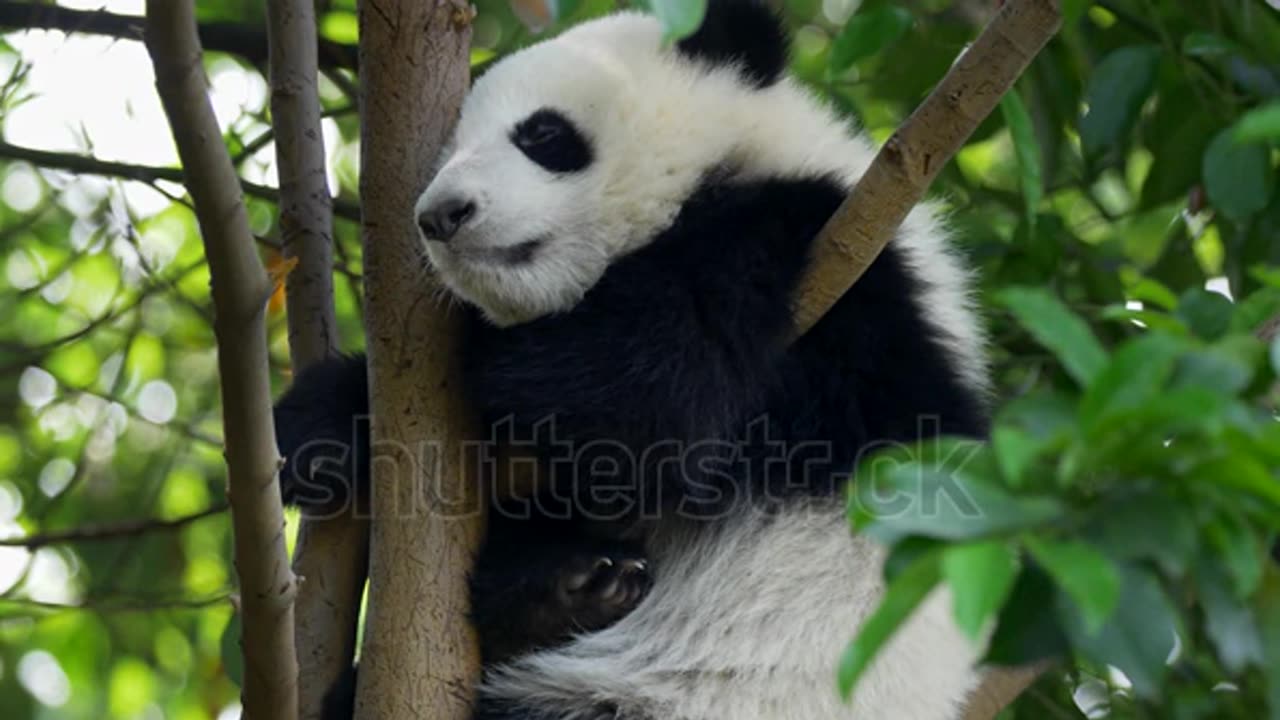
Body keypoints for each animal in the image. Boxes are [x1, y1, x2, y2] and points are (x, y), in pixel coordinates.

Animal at [277, 2, 988, 712]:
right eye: (448, 154)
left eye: (542, 134)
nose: (441, 215)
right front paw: (318, 433)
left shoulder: (815, 265)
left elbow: (637, 410)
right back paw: (560, 590)